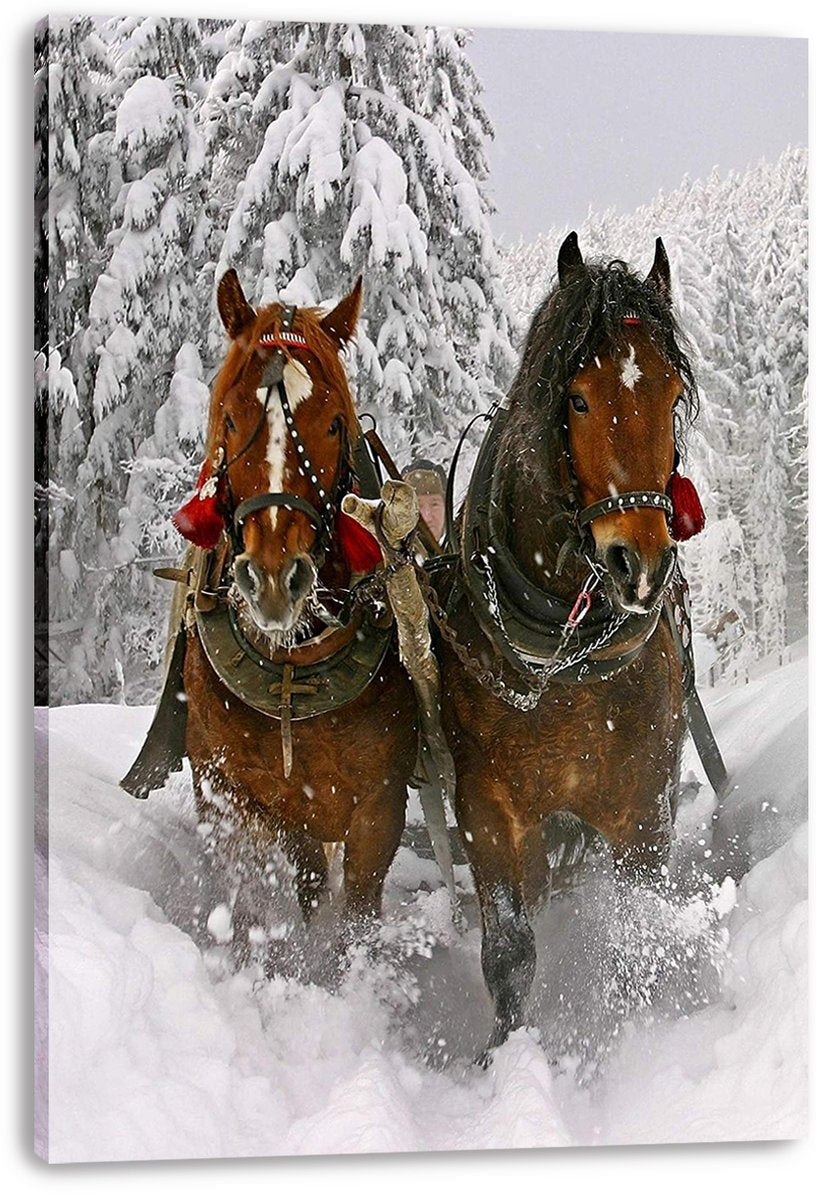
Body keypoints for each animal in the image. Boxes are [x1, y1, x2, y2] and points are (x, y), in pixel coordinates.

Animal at [164, 272, 418, 962]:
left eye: (333, 424)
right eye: (229, 415)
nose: (275, 580)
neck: (291, 669)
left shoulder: (378, 806)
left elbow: (357, 918)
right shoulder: (225, 790)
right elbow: (249, 901)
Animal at [434, 233, 700, 1052]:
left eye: (671, 397)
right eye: (577, 398)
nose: (639, 565)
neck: (565, 660)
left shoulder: (644, 804)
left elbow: (636, 932)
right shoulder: (488, 810)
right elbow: (509, 952)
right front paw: (503, 1058)